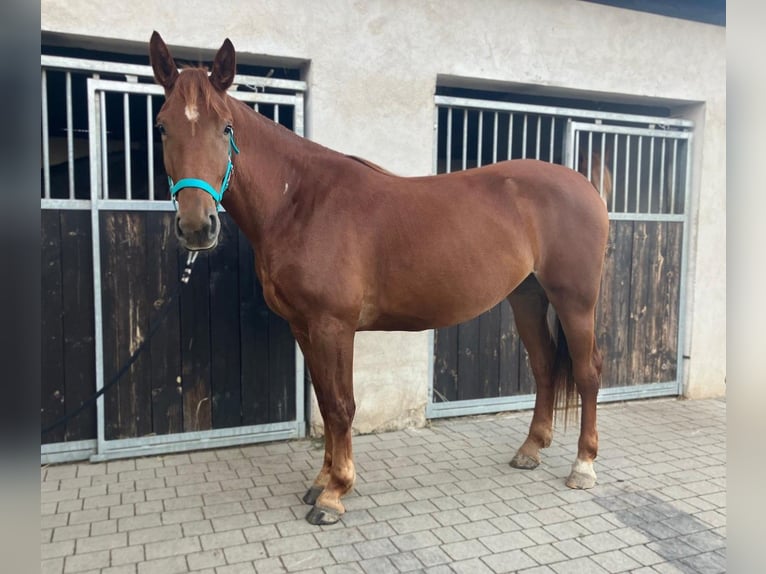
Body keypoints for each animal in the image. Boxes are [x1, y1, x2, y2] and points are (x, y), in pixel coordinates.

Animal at [149, 32, 609, 525]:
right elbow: (325, 403)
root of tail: (586, 186)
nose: (197, 227)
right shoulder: (304, 327)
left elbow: (340, 406)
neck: (301, 202)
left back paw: (583, 466)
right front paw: (321, 482)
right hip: (527, 297)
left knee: (587, 372)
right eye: (162, 127)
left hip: (574, 300)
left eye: (226, 128)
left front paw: (335, 493)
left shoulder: (333, 326)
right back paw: (530, 450)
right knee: (543, 366)